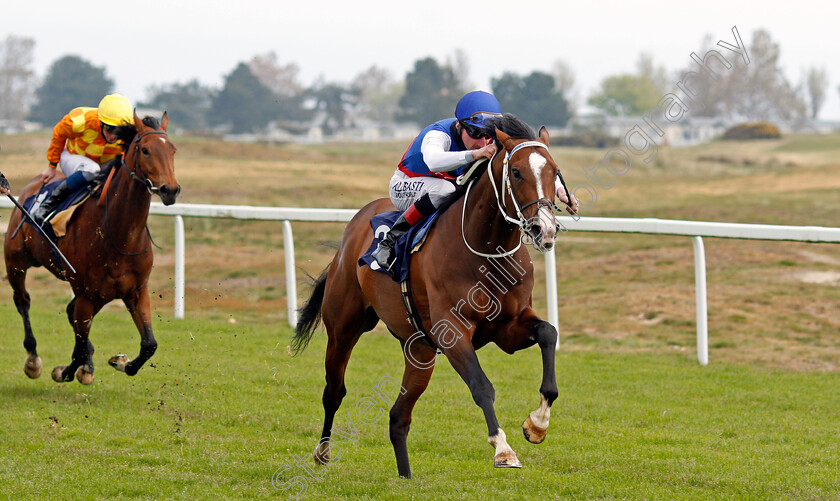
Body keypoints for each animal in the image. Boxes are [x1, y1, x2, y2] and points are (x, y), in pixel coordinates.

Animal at [4, 112, 180, 382]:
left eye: (172, 149)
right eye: (146, 150)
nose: (170, 189)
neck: (119, 235)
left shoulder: (135, 290)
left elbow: (149, 344)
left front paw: (120, 362)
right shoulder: (87, 293)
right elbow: (77, 348)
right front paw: (65, 371)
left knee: (70, 314)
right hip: (16, 262)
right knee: (23, 300)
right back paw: (33, 360)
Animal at [292, 114, 568, 476]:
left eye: (554, 171)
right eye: (518, 172)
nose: (544, 229)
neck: (486, 250)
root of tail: (351, 230)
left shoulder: (508, 327)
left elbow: (548, 333)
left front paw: (537, 424)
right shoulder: (452, 332)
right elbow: (482, 386)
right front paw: (503, 449)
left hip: (420, 350)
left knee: (398, 416)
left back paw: (405, 476)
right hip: (344, 328)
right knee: (334, 391)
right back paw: (322, 452)